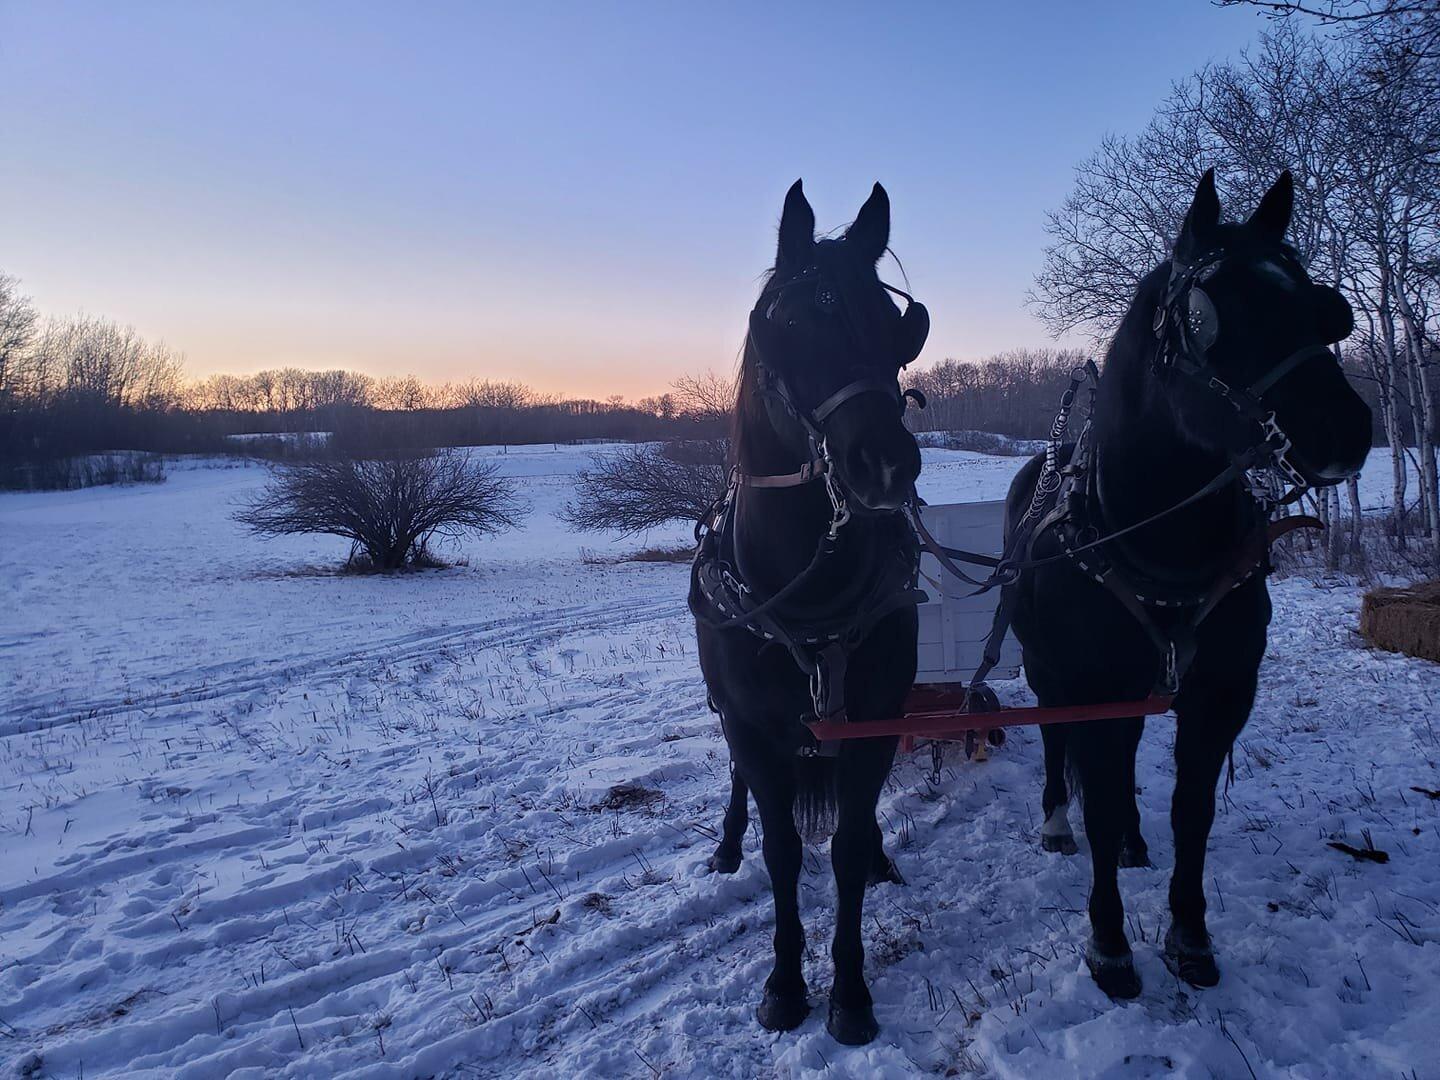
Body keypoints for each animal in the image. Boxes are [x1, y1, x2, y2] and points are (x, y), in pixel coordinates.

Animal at [691, 180, 927, 1048]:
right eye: (790, 323)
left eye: (897, 328)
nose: (885, 463)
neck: (809, 587)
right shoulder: (753, 729)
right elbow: (785, 852)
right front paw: (785, 985)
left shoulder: (876, 716)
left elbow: (851, 844)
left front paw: (850, 992)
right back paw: (727, 846)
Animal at [1008, 167, 1365, 996]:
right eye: (1212, 311)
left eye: (1321, 304)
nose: (1346, 428)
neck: (1157, 543)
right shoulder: (1093, 689)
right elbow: (1100, 800)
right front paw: (1110, 945)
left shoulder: (1223, 694)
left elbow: (1191, 809)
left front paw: (1190, 934)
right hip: (1047, 671)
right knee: (1057, 747)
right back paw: (1055, 821)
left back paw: (1137, 844)